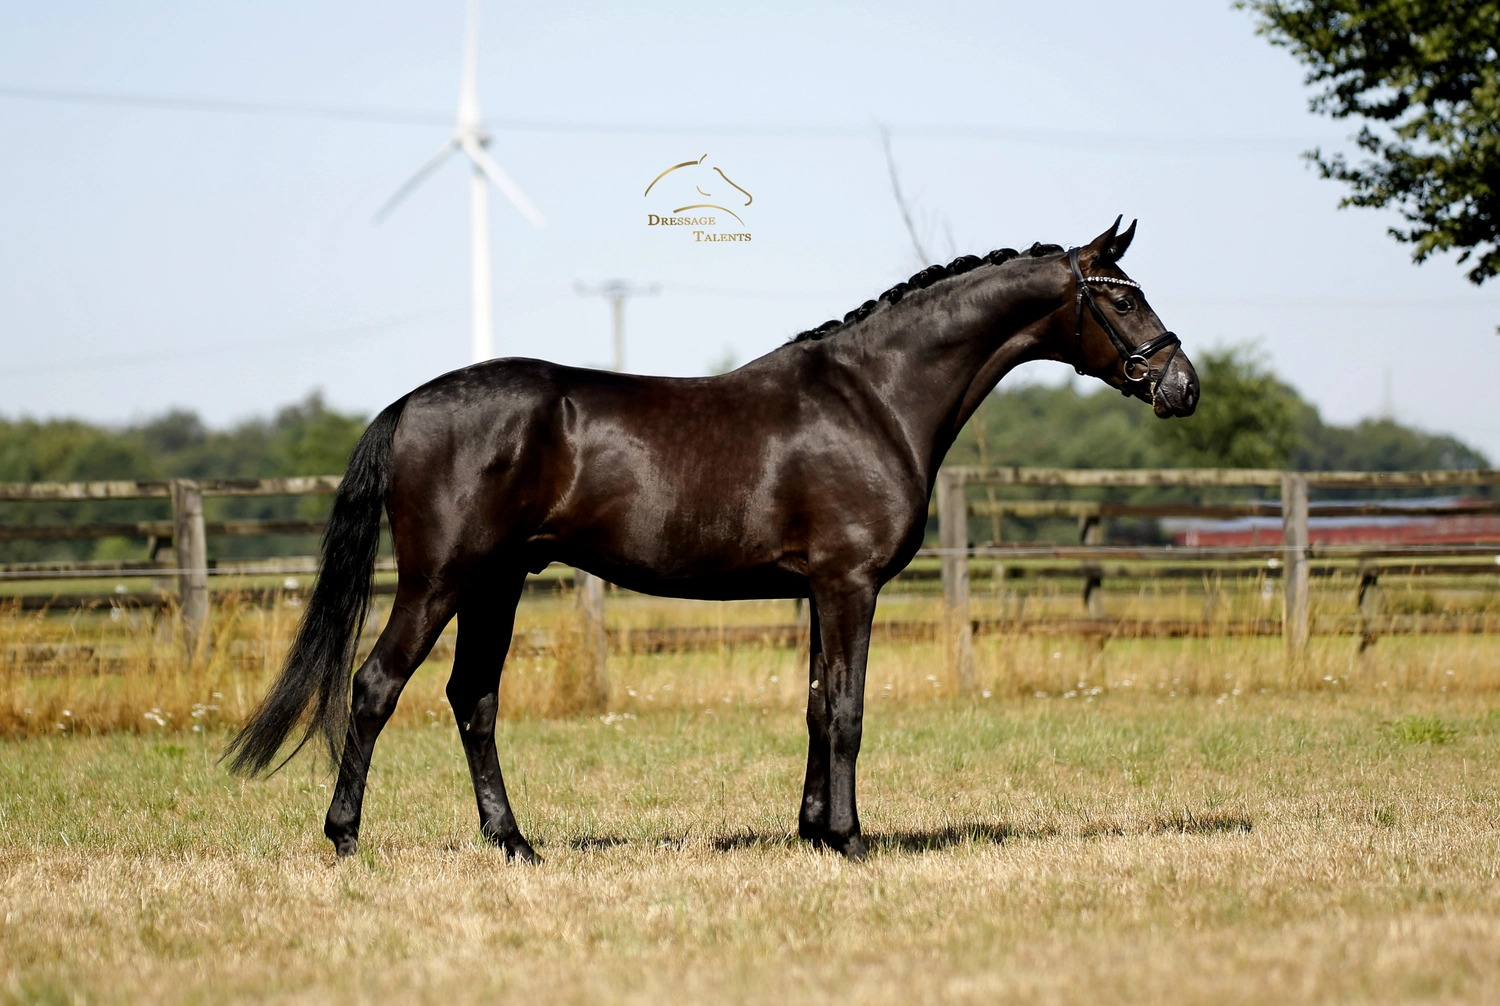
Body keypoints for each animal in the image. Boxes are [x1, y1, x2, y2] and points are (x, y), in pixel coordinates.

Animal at [225, 217, 1199, 862]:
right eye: (1122, 296)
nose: (1182, 385)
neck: (874, 397)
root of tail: (409, 403)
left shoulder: (819, 590)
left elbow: (816, 705)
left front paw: (812, 834)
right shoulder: (850, 584)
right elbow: (848, 710)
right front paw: (851, 841)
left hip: (497, 582)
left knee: (474, 699)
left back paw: (515, 844)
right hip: (441, 579)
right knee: (377, 687)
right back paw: (347, 839)